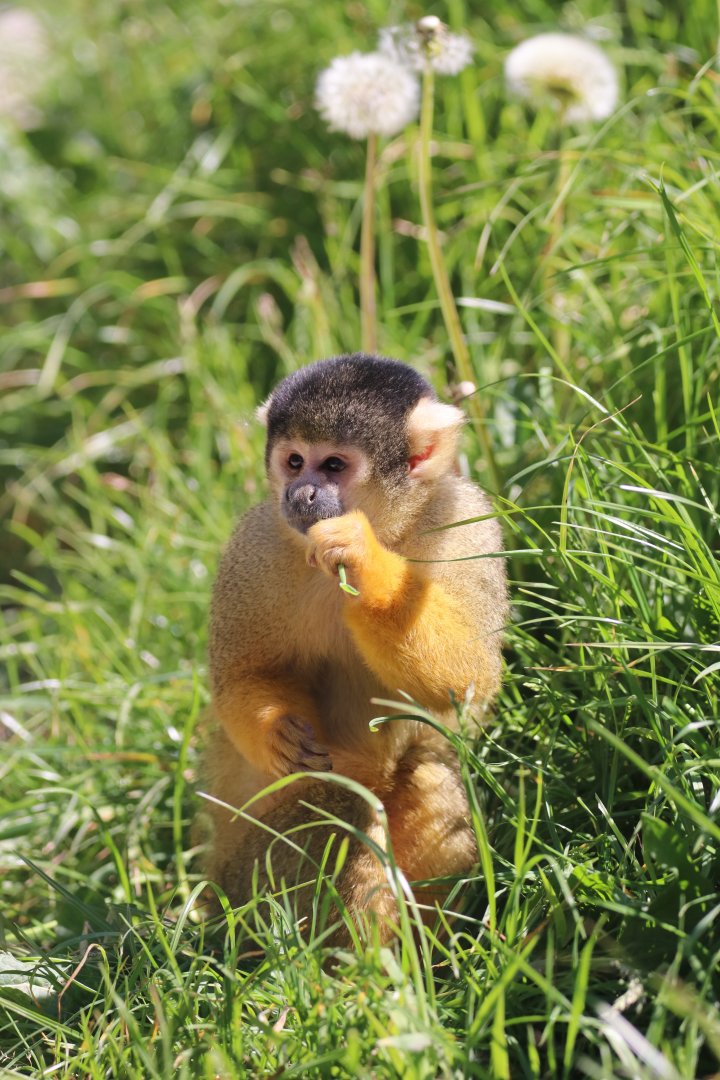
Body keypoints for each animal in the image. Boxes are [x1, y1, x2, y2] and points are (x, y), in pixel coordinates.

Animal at [200, 352, 507, 944]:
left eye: (335, 466)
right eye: (295, 461)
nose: (300, 495)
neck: (389, 528)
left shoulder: (464, 522)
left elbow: (469, 676)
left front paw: (363, 560)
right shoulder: (256, 544)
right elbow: (240, 676)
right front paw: (275, 730)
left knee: (429, 772)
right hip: (249, 881)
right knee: (344, 812)